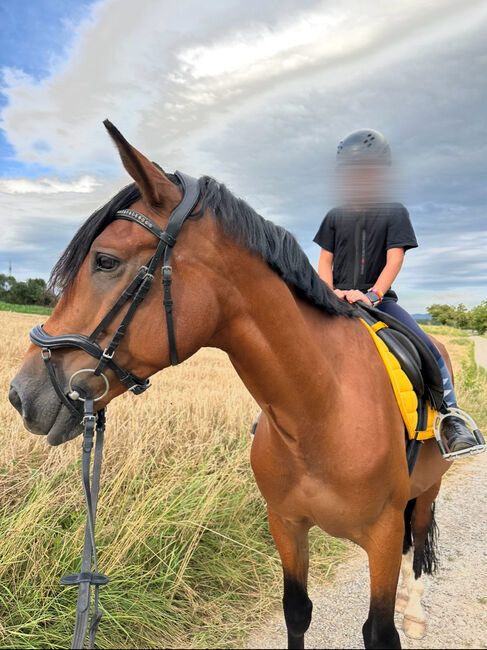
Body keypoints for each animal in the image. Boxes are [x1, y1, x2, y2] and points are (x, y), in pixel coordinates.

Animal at [8, 123, 454, 648]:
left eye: (105, 261)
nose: (20, 395)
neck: (319, 411)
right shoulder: (286, 525)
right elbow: (297, 612)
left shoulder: (380, 536)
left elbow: (379, 629)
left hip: (427, 491)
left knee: (417, 544)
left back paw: (416, 611)